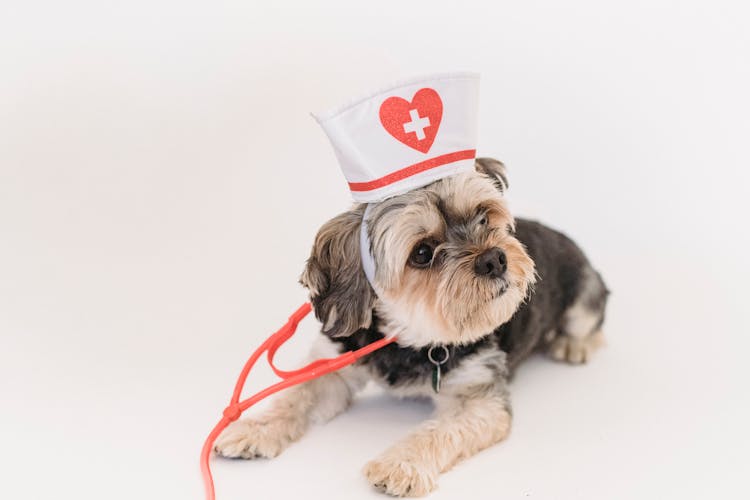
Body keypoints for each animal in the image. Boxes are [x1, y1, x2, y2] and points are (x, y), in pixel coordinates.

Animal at [214, 159, 608, 496]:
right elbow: (297, 395)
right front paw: (253, 428)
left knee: (592, 316)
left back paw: (573, 344)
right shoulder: (336, 364)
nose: (494, 259)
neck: (413, 339)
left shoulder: (478, 396)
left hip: (583, 290)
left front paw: (400, 464)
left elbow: (438, 431)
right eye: (422, 253)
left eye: (483, 216)